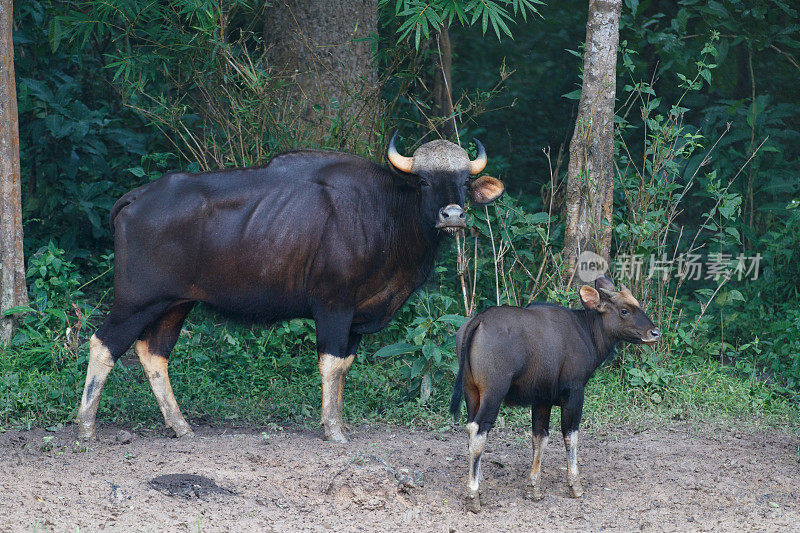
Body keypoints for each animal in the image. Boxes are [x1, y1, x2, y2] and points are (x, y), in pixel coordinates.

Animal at [79, 135, 506, 442]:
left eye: (464, 182)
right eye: (423, 180)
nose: (453, 215)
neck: (385, 213)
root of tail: (137, 197)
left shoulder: (356, 317)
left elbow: (345, 366)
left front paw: (337, 422)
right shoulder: (333, 305)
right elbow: (331, 363)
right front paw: (332, 431)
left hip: (174, 303)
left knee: (153, 353)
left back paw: (180, 426)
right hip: (136, 300)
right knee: (104, 344)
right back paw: (85, 428)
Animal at [450, 274, 664, 512]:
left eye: (638, 305)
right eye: (624, 310)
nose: (655, 332)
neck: (585, 331)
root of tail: (478, 321)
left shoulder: (541, 398)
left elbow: (539, 438)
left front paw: (533, 489)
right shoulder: (574, 392)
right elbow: (571, 437)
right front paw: (575, 486)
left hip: (472, 392)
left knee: (470, 429)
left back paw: (482, 490)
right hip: (493, 393)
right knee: (479, 432)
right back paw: (473, 496)